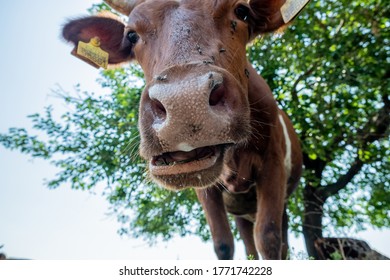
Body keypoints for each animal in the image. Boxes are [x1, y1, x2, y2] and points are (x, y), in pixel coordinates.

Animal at [62, 0, 306, 260]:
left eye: (241, 11)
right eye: (131, 35)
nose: (186, 103)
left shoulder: (273, 164)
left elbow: (269, 238)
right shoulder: (206, 188)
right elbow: (223, 243)